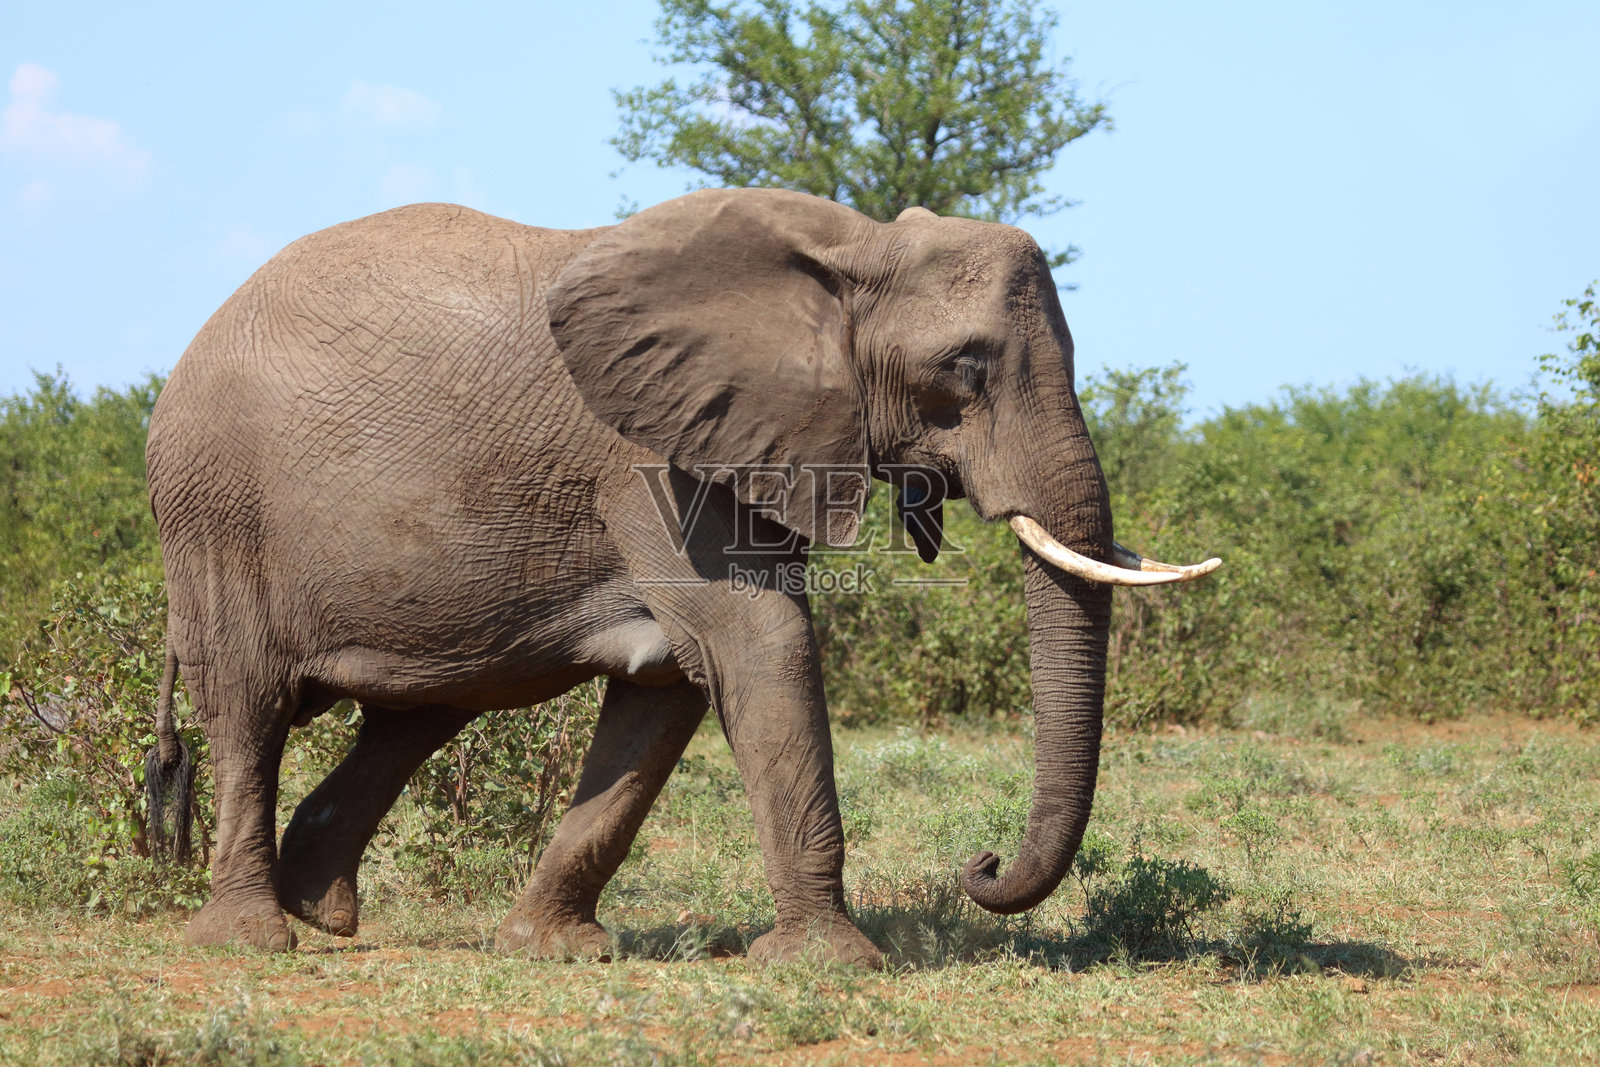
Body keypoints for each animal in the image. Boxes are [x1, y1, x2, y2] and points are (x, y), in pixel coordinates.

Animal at [143, 188, 1218, 964]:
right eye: (966, 366)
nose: (982, 862)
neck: (851, 252)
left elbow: (665, 685)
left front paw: (553, 952)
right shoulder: (648, 462)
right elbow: (758, 643)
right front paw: (832, 965)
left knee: (417, 710)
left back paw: (319, 908)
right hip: (214, 514)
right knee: (248, 706)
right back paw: (249, 940)